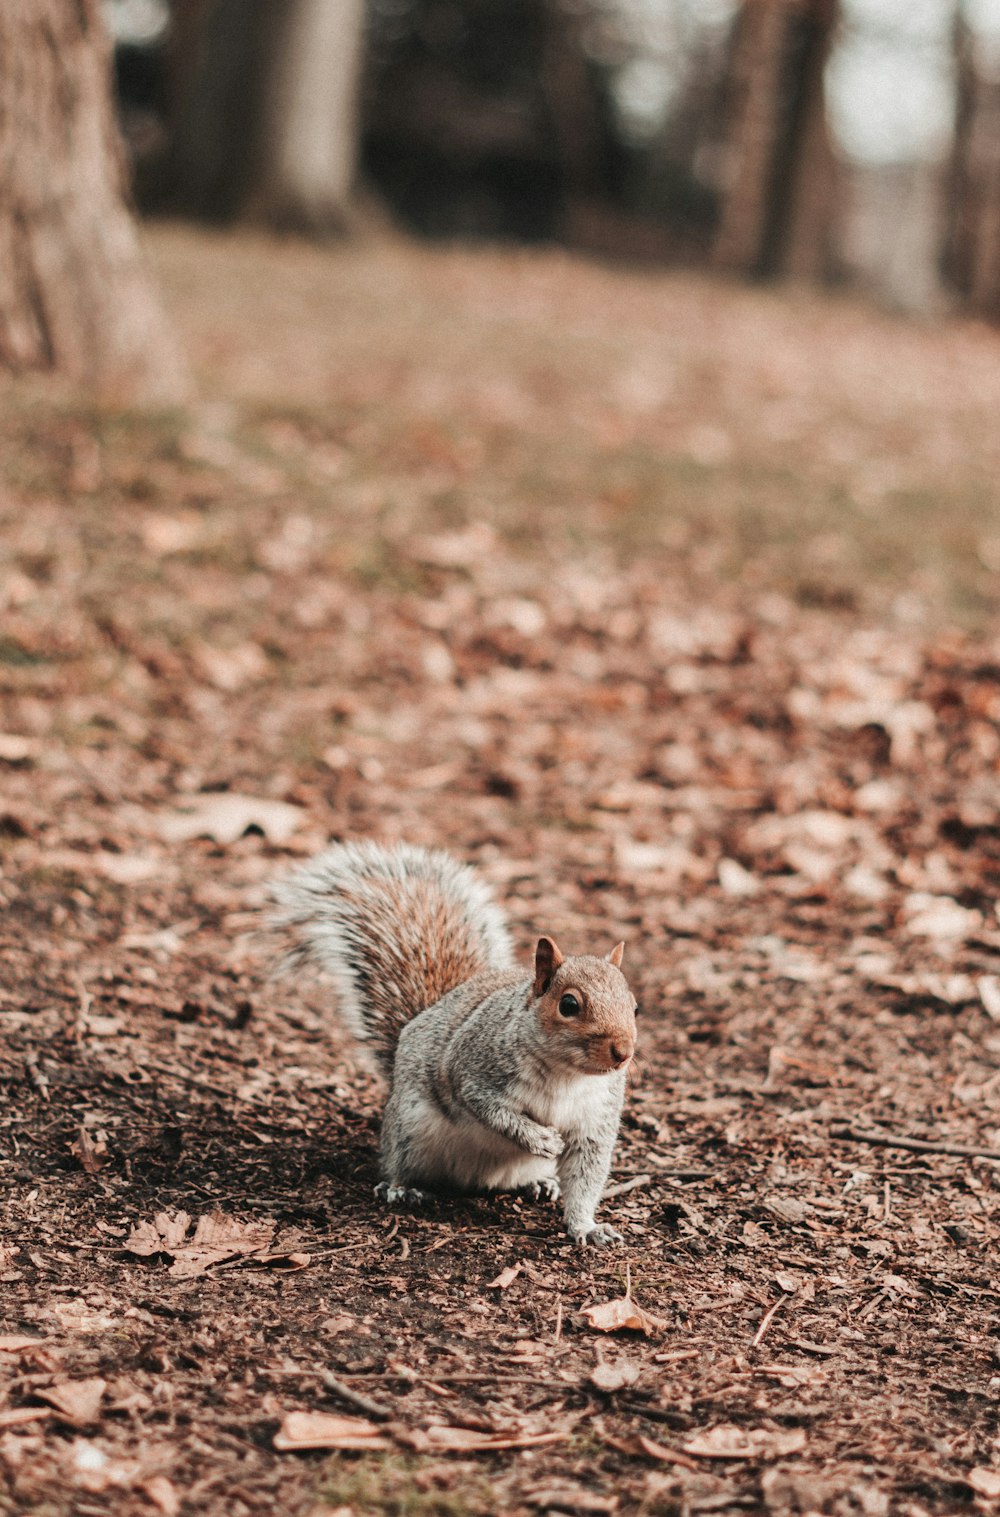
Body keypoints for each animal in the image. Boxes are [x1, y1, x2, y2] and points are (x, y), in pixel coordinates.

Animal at [270, 843, 637, 1243]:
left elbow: (586, 1177)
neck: (566, 1074)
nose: (623, 1053)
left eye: (635, 1005)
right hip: (409, 1129)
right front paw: (539, 1139)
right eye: (568, 1005)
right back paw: (400, 1188)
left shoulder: (594, 1120)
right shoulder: (471, 1069)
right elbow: (492, 1110)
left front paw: (588, 1227)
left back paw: (541, 1183)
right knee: (397, 1162)